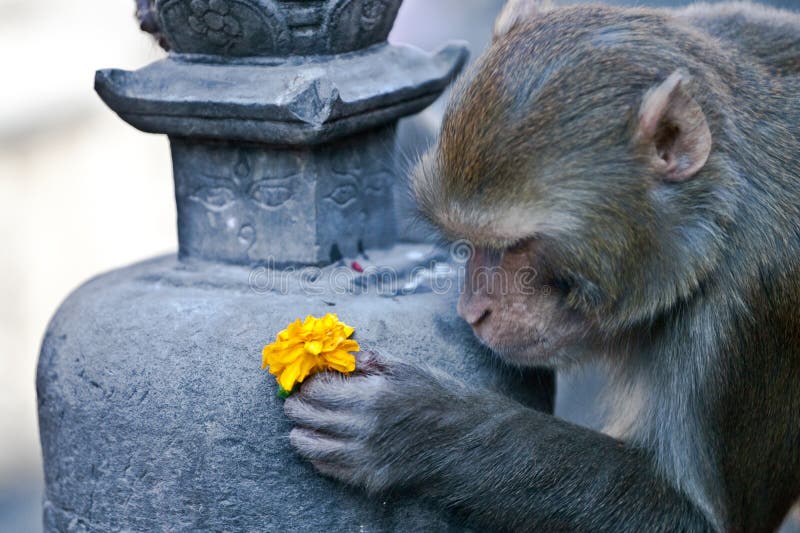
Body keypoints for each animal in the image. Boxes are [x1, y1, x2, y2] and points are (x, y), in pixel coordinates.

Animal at [282, 2, 800, 531]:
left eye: (517, 245)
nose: (473, 312)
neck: (717, 225)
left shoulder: (748, 307)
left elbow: (700, 521)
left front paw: (414, 421)